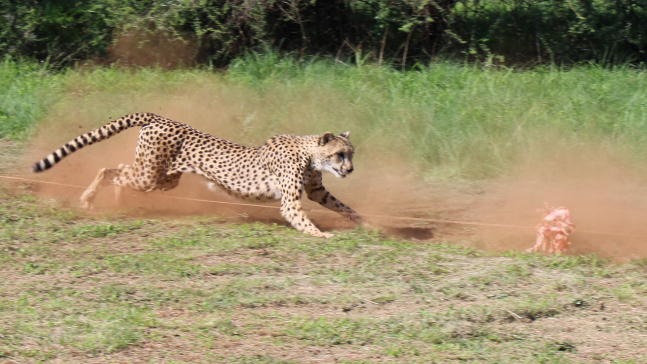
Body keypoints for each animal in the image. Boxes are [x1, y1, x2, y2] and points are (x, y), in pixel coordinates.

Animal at [30, 114, 362, 239]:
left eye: (351, 153)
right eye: (339, 155)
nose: (350, 170)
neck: (309, 154)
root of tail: (159, 117)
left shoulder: (316, 191)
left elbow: (342, 205)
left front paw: (364, 221)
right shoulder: (290, 201)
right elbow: (302, 218)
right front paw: (322, 234)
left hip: (163, 178)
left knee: (120, 170)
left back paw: (115, 198)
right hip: (149, 176)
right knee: (108, 170)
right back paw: (89, 198)